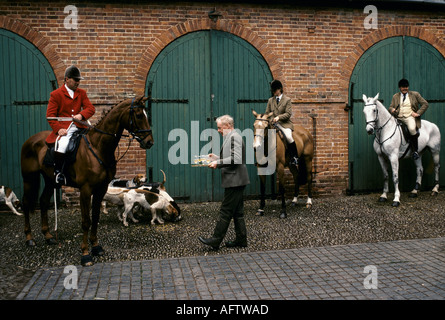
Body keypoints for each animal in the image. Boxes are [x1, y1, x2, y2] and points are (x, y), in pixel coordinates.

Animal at [20, 95, 153, 264]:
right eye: (139, 115)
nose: (149, 142)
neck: (98, 147)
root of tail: (31, 140)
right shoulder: (85, 189)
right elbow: (86, 221)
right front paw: (85, 253)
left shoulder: (101, 188)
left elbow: (95, 217)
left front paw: (96, 247)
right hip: (29, 178)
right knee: (25, 203)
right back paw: (29, 238)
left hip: (50, 180)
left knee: (43, 201)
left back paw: (48, 236)